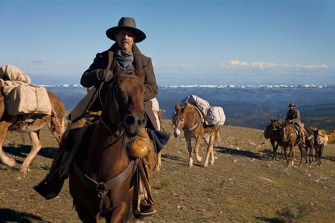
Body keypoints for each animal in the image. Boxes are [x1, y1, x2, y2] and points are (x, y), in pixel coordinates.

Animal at [68, 74, 158, 222]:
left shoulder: (121, 207)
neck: (103, 166)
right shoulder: (85, 209)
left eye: (143, 92)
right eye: (118, 90)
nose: (136, 122)